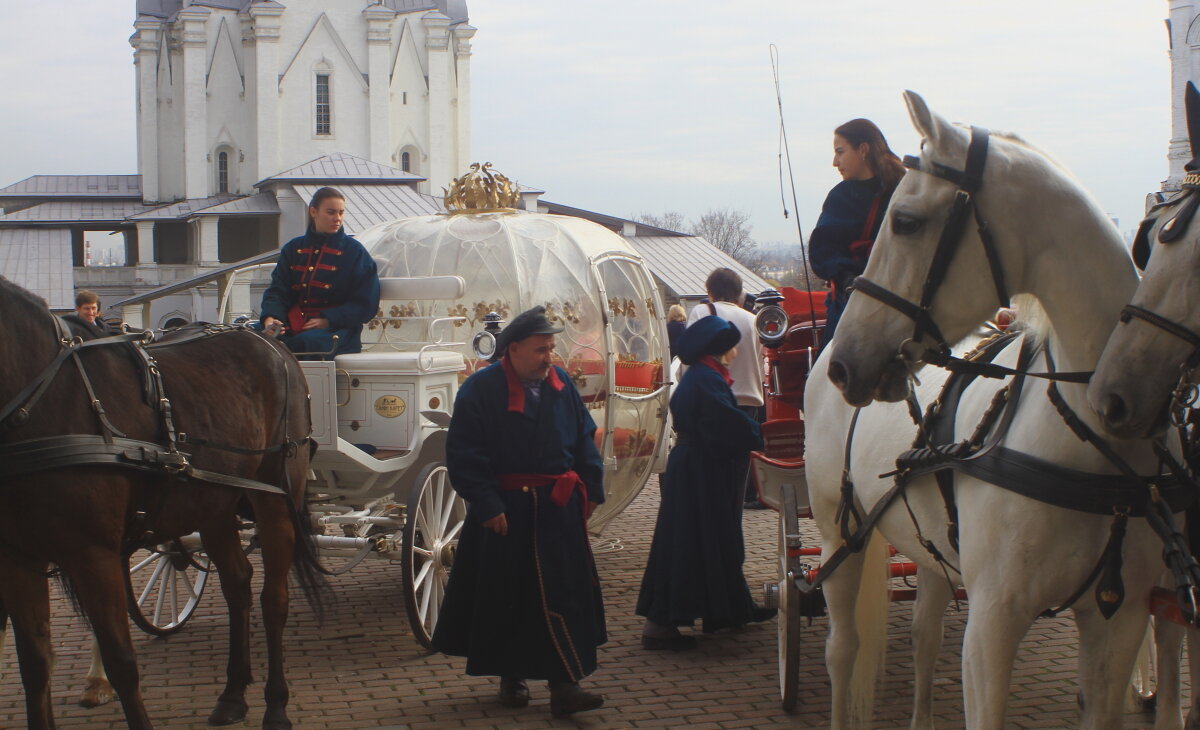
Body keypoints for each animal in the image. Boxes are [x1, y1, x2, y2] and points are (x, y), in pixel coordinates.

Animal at [0, 276, 326, 725]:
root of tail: (268, 339)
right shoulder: (18, 559)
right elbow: (34, 664)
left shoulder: (93, 554)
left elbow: (122, 662)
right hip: (214, 503)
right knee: (238, 584)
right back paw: (232, 694)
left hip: (276, 498)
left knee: (274, 597)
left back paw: (276, 705)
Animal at [806, 92, 1171, 730]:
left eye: (905, 222)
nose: (847, 366)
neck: (1083, 434)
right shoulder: (994, 621)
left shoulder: (1119, 621)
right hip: (836, 535)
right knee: (842, 650)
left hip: (926, 548)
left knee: (924, 636)